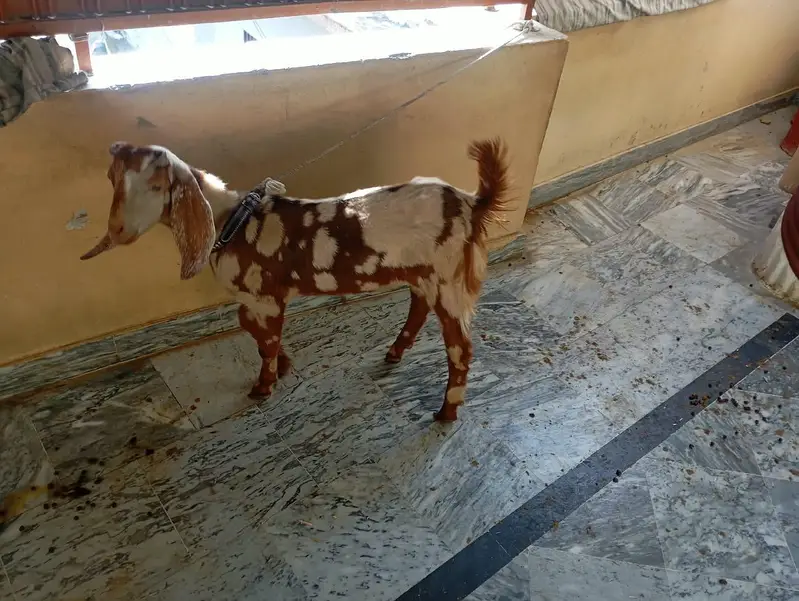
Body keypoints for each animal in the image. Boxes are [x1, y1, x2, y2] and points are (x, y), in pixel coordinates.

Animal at [81, 140, 510, 421]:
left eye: (154, 181)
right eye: (115, 177)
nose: (119, 231)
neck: (231, 221)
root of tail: (472, 203)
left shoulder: (266, 296)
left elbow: (266, 340)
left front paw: (264, 385)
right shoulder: (254, 299)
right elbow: (249, 327)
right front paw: (285, 365)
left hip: (448, 280)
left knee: (461, 348)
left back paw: (447, 411)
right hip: (423, 275)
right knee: (418, 309)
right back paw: (394, 352)